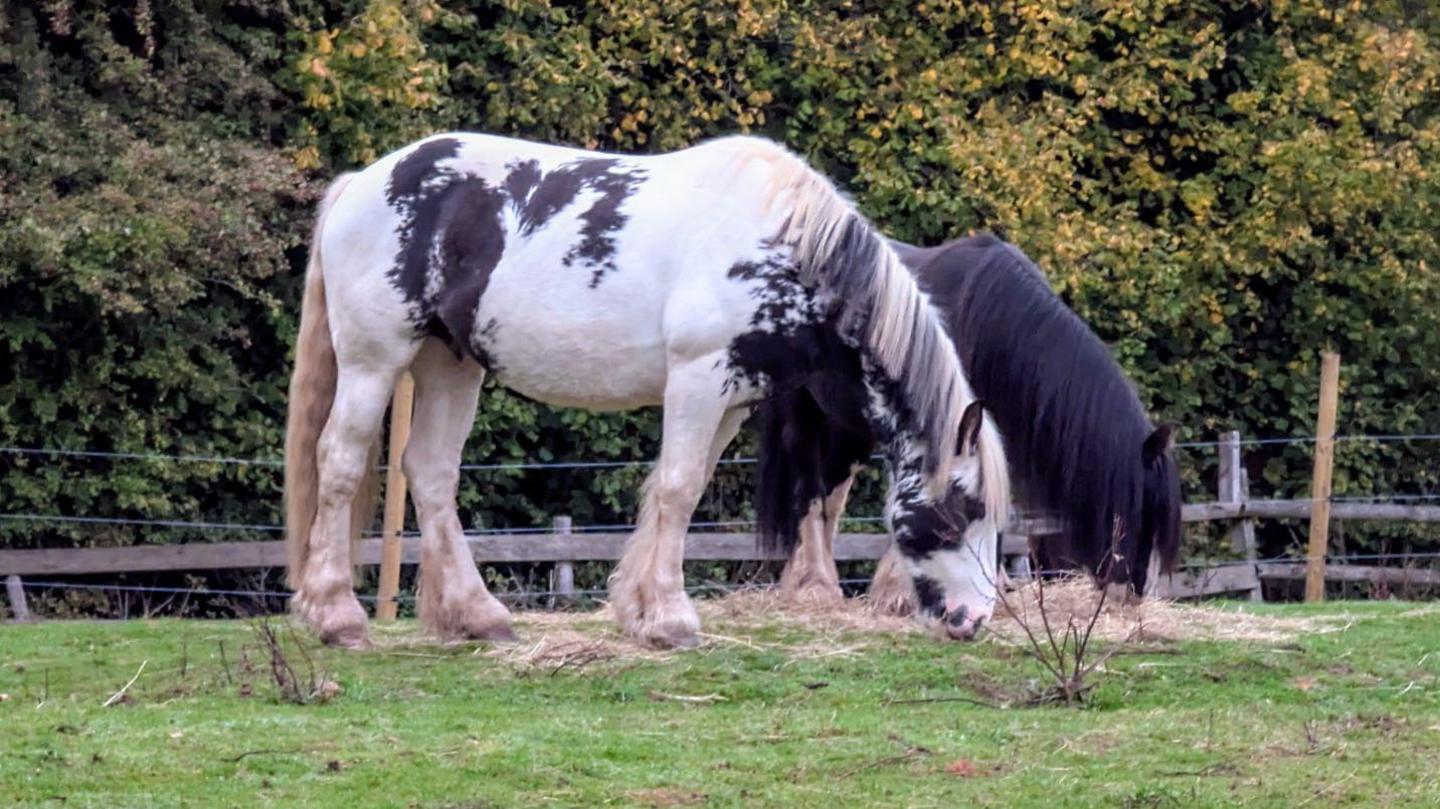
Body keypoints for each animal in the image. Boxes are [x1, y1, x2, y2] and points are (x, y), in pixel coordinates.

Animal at [283, 132, 1010, 649]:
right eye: (961, 511)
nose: (974, 618)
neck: (782, 247)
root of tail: (361, 183)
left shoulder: (730, 397)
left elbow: (670, 488)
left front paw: (640, 609)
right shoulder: (698, 376)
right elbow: (680, 489)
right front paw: (669, 617)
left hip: (449, 362)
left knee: (432, 474)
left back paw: (478, 615)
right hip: (375, 360)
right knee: (340, 464)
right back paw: (338, 617)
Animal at [754, 233, 1182, 615]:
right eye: (1140, 510)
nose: (1132, 595)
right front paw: (900, 594)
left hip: (850, 423)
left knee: (833, 487)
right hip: (803, 408)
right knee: (808, 481)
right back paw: (816, 586)